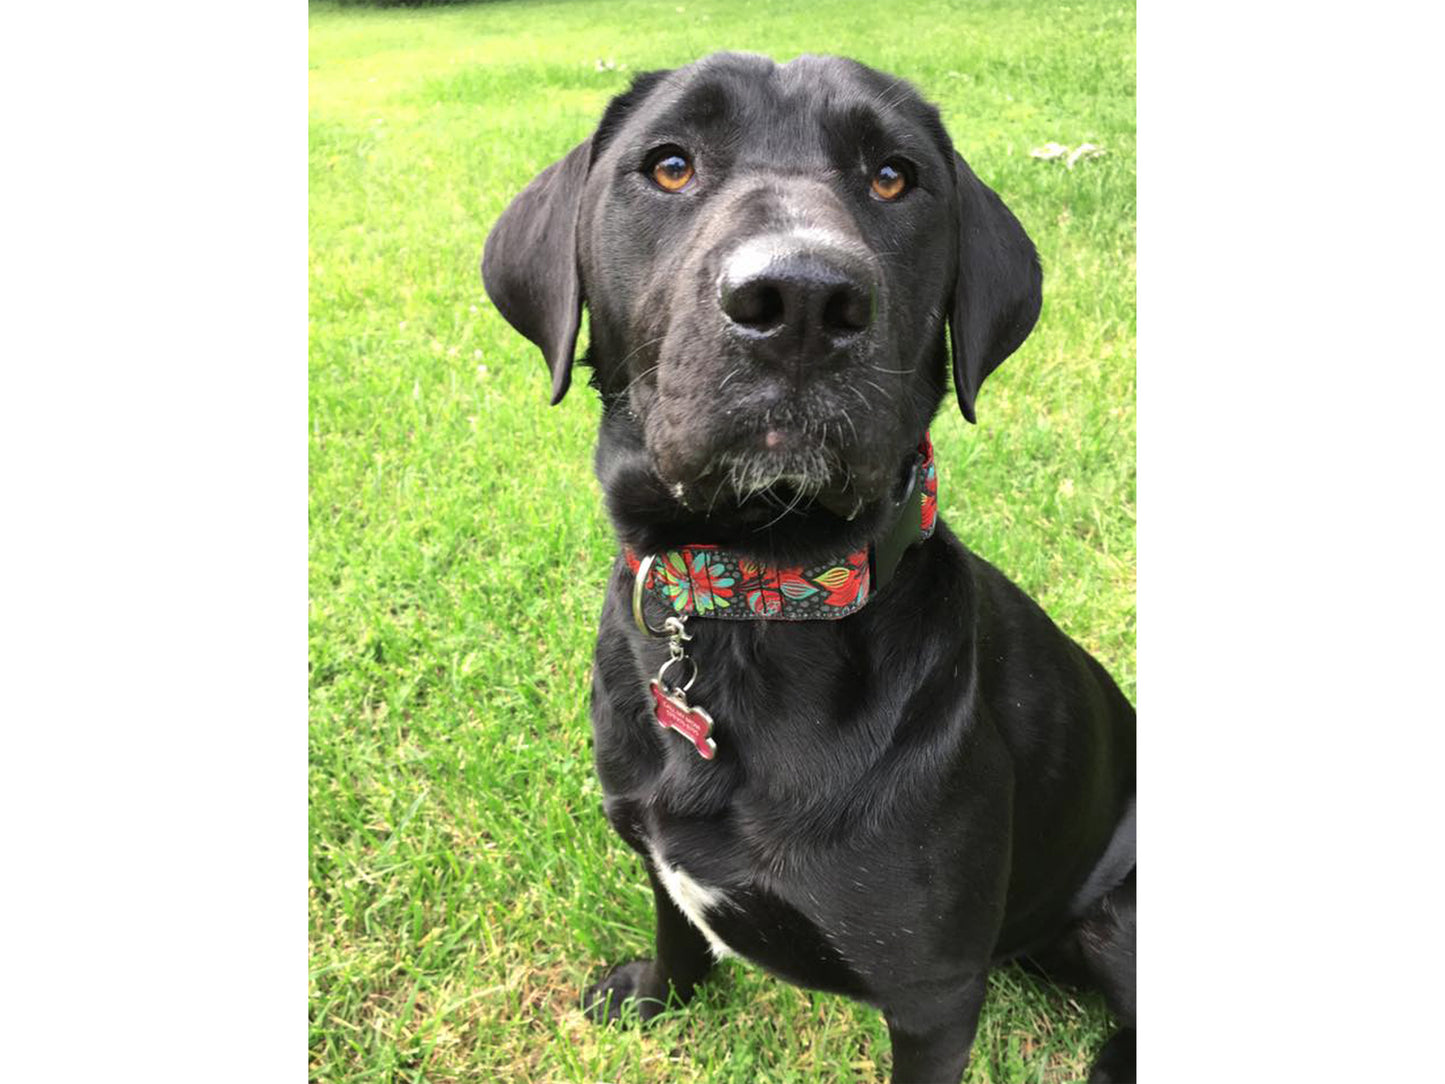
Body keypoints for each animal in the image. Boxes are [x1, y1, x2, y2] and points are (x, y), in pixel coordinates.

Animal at [479, 53, 1132, 1084]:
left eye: (894, 177)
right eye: (669, 165)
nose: (799, 304)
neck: (756, 598)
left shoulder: (934, 993)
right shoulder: (657, 848)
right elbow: (677, 929)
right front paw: (656, 1001)